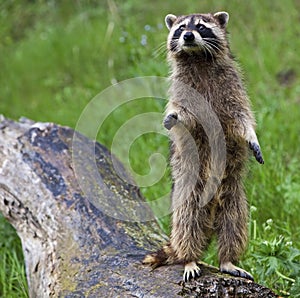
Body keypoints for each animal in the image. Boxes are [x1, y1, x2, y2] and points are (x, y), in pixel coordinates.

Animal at [143, 11, 262, 282]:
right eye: (180, 28)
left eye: (200, 27)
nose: (188, 36)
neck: (197, 57)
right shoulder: (182, 91)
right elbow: (185, 118)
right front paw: (174, 117)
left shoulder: (232, 87)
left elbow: (242, 118)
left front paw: (252, 136)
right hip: (189, 192)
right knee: (187, 224)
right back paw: (189, 257)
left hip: (234, 195)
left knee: (234, 224)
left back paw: (227, 259)